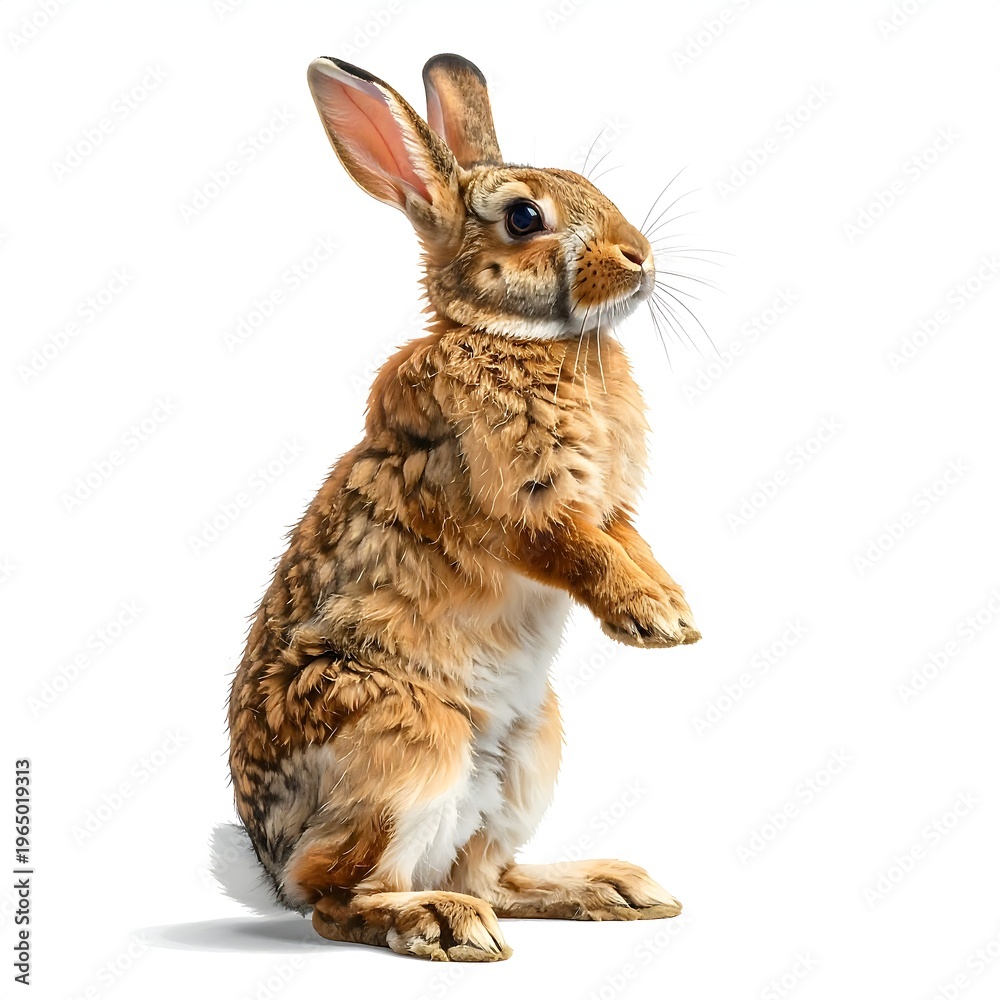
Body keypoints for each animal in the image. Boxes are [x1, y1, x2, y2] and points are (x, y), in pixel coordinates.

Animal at [226, 51, 700, 963]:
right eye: (524, 217)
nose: (641, 256)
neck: (521, 341)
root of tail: (267, 863)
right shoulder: (517, 507)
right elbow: (578, 552)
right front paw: (653, 620)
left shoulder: (611, 506)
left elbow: (627, 542)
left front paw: (674, 608)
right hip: (406, 740)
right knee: (338, 898)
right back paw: (439, 922)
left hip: (530, 751)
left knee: (493, 877)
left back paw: (613, 887)